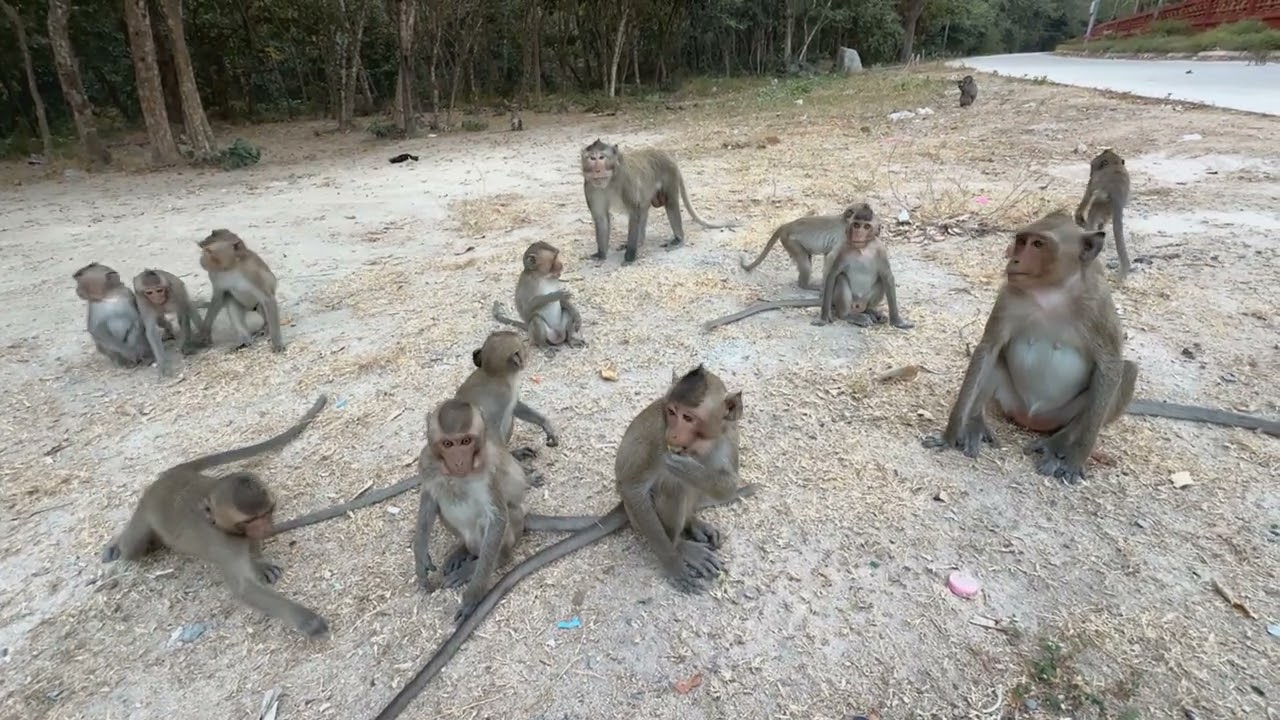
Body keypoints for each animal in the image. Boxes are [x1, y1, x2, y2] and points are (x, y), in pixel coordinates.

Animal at [101, 395, 331, 638]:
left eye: (268, 512)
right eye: (249, 520)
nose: (266, 529)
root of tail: (173, 474)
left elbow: (252, 548)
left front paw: (258, 563)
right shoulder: (224, 545)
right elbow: (245, 589)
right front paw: (307, 620)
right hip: (147, 507)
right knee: (132, 547)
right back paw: (117, 544)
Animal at [580, 139, 736, 264]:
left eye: (601, 157)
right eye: (592, 158)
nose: (597, 170)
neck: (610, 180)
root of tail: (667, 155)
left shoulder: (627, 181)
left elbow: (634, 213)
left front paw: (630, 256)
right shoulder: (590, 188)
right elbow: (601, 219)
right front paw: (601, 254)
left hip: (670, 176)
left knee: (670, 203)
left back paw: (678, 239)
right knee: (643, 210)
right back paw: (640, 241)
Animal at [703, 204, 912, 331]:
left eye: (867, 223)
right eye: (858, 223)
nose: (861, 231)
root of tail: (785, 225)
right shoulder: (842, 240)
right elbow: (831, 262)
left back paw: (869, 311)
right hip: (791, 242)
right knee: (806, 265)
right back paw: (812, 287)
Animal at [922, 212, 1279, 484]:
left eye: (1038, 244)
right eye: (1022, 240)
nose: (1014, 257)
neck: (1052, 292)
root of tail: (1032, 419)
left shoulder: (1098, 307)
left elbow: (1110, 365)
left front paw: (1074, 459)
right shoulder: (1010, 296)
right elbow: (988, 348)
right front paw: (952, 432)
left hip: (1063, 413)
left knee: (1125, 372)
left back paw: (1060, 442)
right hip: (1011, 400)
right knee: (997, 359)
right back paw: (976, 423)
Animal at [1074, 148, 1132, 280]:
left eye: (1093, 164)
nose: (1106, 150)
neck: (1115, 164)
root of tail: (1117, 193)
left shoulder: (1095, 180)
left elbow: (1088, 193)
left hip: (1100, 204)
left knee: (1092, 213)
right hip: (1108, 208)